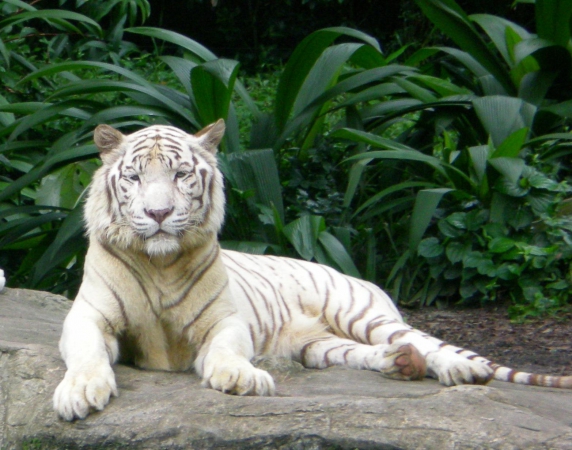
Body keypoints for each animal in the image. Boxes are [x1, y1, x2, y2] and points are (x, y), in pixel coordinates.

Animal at [53, 120, 572, 422]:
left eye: (180, 175)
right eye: (135, 176)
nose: (159, 214)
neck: (159, 262)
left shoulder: (225, 320)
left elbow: (225, 350)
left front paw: (239, 378)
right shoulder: (88, 316)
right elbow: (86, 352)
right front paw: (79, 392)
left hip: (362, 313)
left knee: (430, 342)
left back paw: (462, 369)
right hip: (317, 345)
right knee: (370, 352)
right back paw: (401, 364)